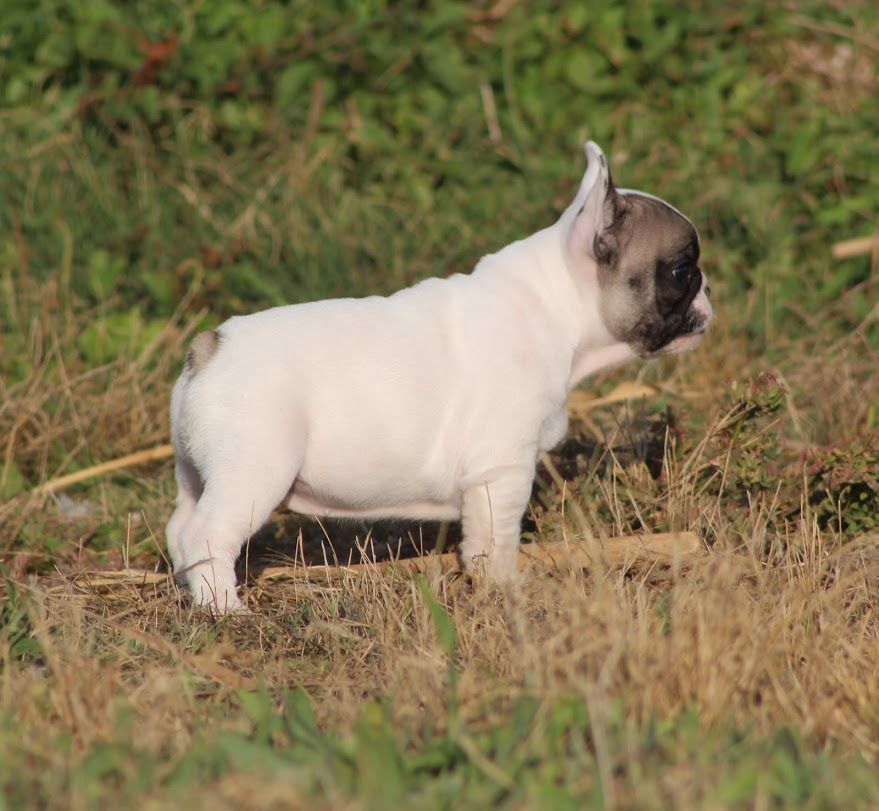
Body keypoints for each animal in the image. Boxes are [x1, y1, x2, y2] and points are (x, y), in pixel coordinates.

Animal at [167, 141, 716, 608]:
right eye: (681, 271)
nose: (709, 290)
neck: (556, 302)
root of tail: (209, 347)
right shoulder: (502, 469)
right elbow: (495, 539)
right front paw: (503, 587)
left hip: (197, 472)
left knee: (179, 528)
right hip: (255, 468)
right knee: (207, 533)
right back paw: (224, 607)